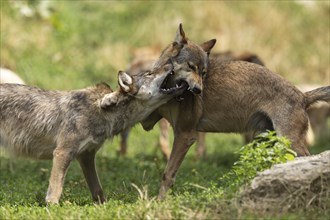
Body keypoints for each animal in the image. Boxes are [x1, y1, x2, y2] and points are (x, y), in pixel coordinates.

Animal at [0, 62, 186, 204]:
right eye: (149, 73)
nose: (171, 64)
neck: (101, 110)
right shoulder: (63, 152)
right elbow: (55, 190)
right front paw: (51, 209)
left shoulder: (86, 156)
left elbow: (98, 191)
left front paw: (103, 208)